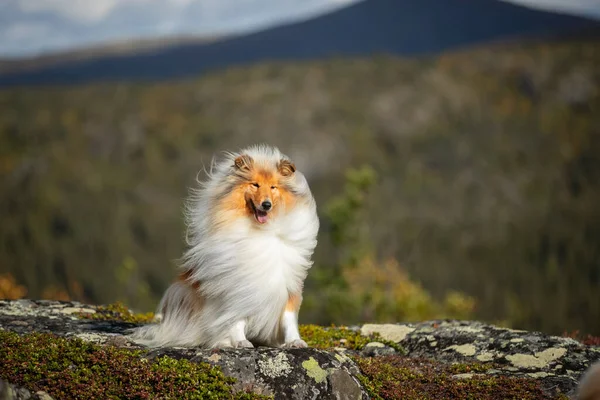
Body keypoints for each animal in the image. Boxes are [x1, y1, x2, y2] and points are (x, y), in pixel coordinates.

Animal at [131, 145, 318, 348]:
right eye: (255, 184)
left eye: (273, 187)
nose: (266, 205)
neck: (262, 229)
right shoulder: (234, 284)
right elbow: (235, 318)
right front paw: (240, 342)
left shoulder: (289, 281)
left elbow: (288, 317)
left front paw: (295, 341)